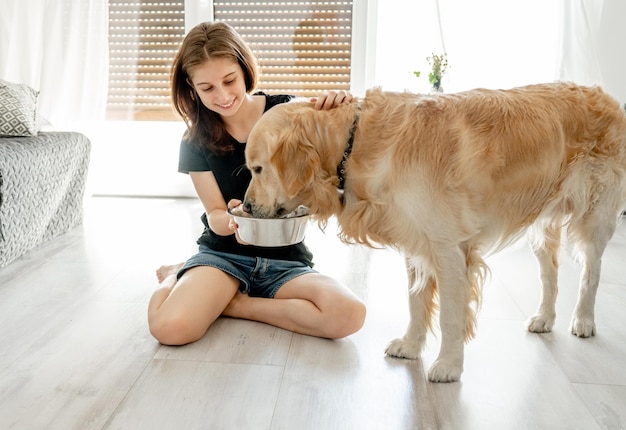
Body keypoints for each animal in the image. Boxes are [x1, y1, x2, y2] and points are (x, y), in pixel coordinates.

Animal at [241, 83, 624, 382]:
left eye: (257, 169)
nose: (245, 206)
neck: (357, 143)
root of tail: (607, 97)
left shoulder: (448, 247)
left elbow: (451, 316)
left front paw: (448, 366)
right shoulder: (416, 243)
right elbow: (416, 302)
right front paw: (410, 346)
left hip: (595, 215)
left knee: (591, 271)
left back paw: (584, 320)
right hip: (542, 223)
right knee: (550, 273)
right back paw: (545, 317)